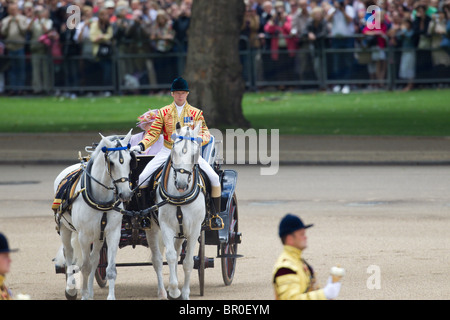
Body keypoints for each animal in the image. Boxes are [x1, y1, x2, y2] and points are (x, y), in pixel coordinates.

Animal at [53, 130, 134, 300]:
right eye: (112, 163)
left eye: (131, 160)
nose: (126, 194)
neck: (100, 198)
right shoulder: (84, 235)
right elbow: (84, 267)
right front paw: (83, 295)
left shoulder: (112, 233)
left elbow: (109, 268)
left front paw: (108, 296)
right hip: (65, 228)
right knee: (69, 254)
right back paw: (71, 288)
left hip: (98, 236)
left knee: (95, 259)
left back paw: (89, 291)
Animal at [146, 123, 206, 300]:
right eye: (174, 151)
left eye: (194, 155)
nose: (181, 184)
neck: (180, 197)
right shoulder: (166, 226)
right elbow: (171, 257)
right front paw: (173, 290)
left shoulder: (194, 229)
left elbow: (188, 262)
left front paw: (184, 293)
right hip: (152, 229)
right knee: (158, 260)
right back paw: (162, 292)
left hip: (181, 232)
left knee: (179, 251)